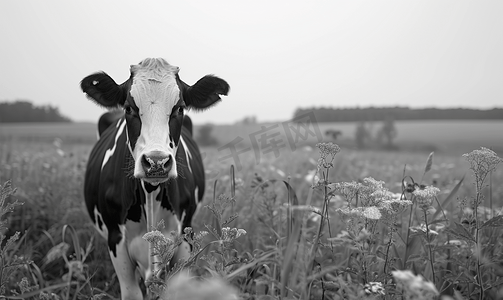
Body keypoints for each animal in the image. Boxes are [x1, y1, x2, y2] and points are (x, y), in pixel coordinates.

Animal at [80, 57, 230, 298]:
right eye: (129, 107)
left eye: (179, 108)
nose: (156, 162)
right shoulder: (116, 240)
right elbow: (131, 292)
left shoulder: (184, 239)